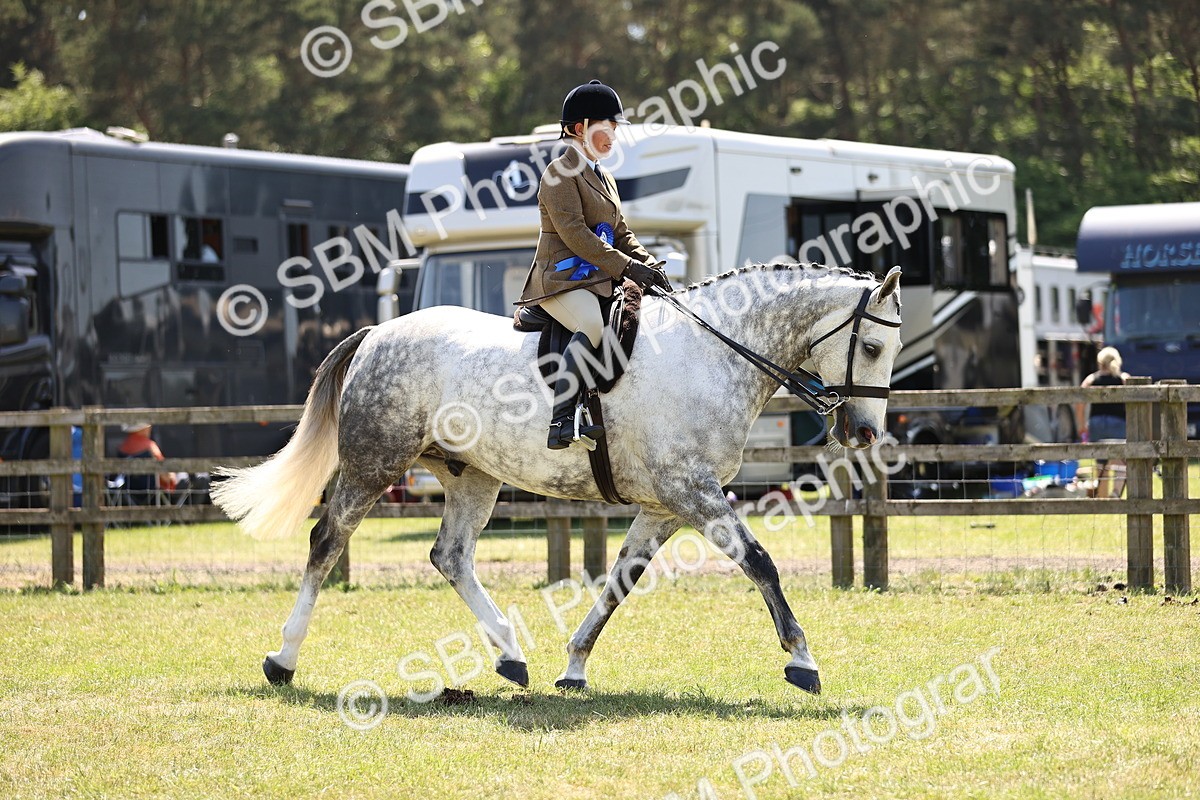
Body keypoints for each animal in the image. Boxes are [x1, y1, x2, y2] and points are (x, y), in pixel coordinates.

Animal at [212, 262, 904, 696]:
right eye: (871, 347)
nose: (864, 434)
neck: (715, 353)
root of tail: (378, 332)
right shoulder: (693, 491)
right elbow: (760, 563)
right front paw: (803, 661)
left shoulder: (666, 504)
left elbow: (619, 581)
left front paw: (573, 666)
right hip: (372, 463)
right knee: (326, 543)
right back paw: (283, 660)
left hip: (473, 476)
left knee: (450, 556)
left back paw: (510, 655)